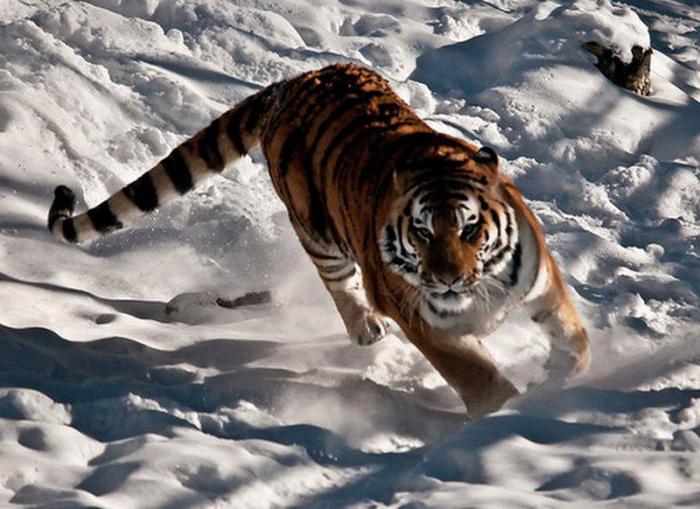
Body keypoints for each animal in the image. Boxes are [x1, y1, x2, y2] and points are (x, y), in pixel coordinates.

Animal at [46, 63, 588, 418]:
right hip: (317, 231)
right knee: (339, 285)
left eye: (470, 229)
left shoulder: (540, 281)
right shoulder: (423, 320)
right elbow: (474, 373)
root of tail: (290, 83)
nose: (448, 279)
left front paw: (561, 380)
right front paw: (507, 414)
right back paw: (367, 329)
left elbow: (573, 337)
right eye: (422, 231)